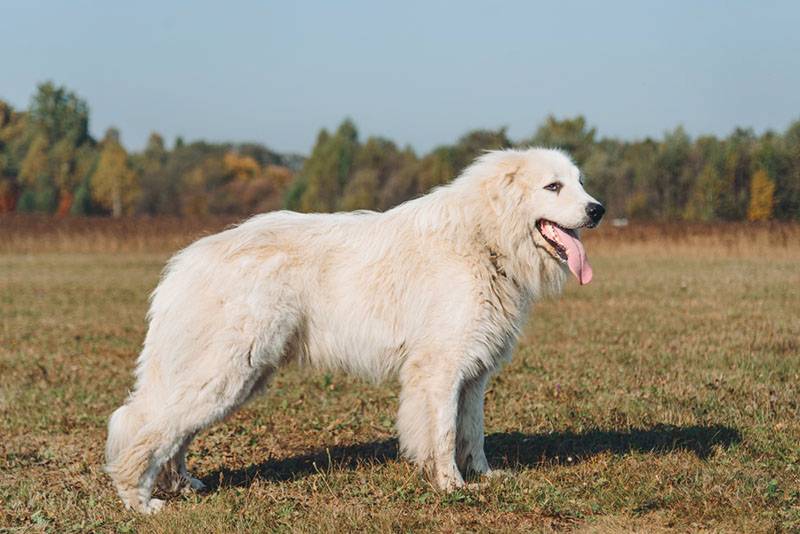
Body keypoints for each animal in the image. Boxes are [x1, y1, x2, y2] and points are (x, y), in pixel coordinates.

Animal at [108, 148, 608, 516]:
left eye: (581, 182)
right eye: (553, 186)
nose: (598, 210)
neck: (484, 238)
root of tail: (184, 263)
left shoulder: (473, 375)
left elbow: (473, 433)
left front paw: (482, 478)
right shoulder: (440, 370)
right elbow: (445, 434)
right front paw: (451, 487)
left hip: (231, 377)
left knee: (175, 432)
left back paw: (183, 484)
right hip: (222, 372)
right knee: (140, 423)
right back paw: (140, 501)